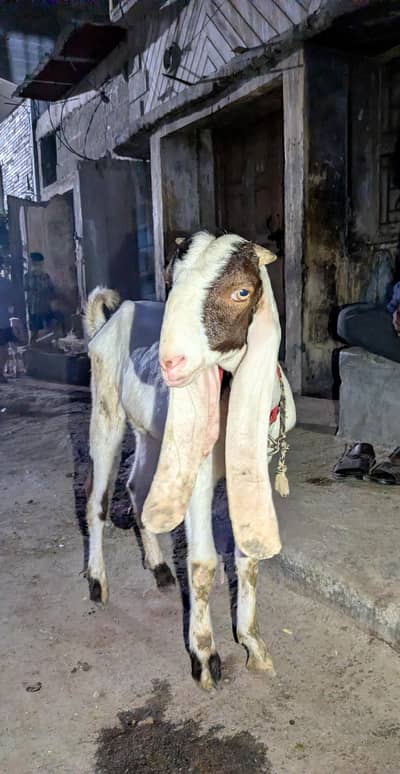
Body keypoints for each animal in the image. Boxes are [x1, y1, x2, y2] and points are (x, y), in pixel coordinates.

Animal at [85, 231, 296, 690]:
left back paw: (159, 567)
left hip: (153, 434)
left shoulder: (253, 467)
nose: (171, 362)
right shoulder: (196, 472)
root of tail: (107, 322)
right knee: (97, 500)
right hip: (106, 408)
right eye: (172, 280)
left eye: (242, 292)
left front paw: (253, 645)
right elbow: (202, 563)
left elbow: (247, 557)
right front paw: (204, 656)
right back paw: (96, 581)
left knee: (138, 488)